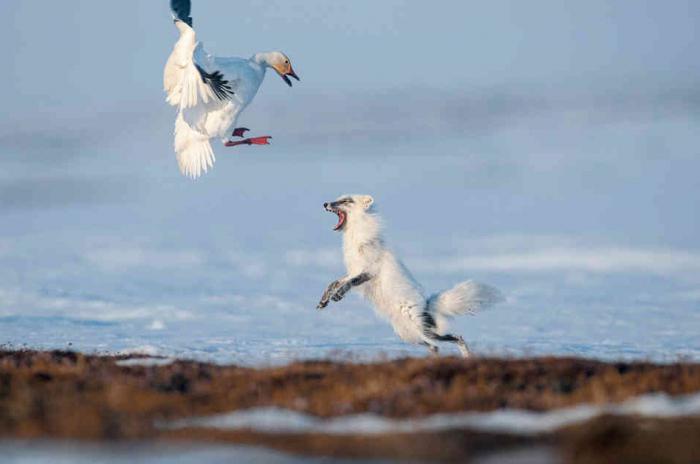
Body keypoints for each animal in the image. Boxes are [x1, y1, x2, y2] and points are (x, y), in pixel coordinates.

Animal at [318, 194, 504, 358]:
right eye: (338, 198)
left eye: (346, 201)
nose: (325, 203)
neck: (356, 239)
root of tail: (427, 306)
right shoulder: (352, 270)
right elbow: (333, 283)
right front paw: (324, 300)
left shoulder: (368, 271)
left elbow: (348, 284)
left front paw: (338, 295)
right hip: (408, 335)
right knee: (435, 347)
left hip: (422, 331)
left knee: (457, 338)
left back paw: (466, 356)